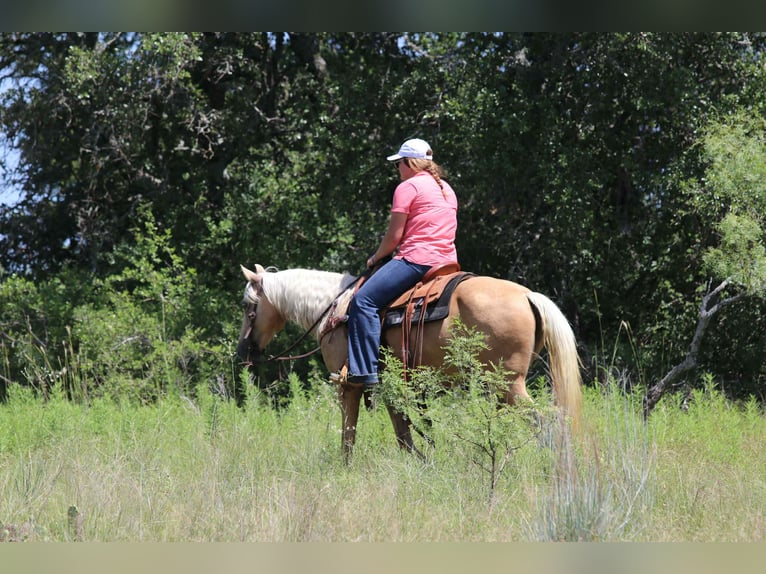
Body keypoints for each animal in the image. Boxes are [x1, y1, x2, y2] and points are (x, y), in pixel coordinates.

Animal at [237, 263, 582, 458]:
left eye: (247, 307)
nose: (243, 352)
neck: (335, 308)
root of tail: (527, 295)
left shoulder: (347, 385)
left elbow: (349, 433)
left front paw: (344, 469)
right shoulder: (388, 385)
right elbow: (402, 432)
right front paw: (419, 462)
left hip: (509, 385)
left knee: (547, 418)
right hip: (500, 387)